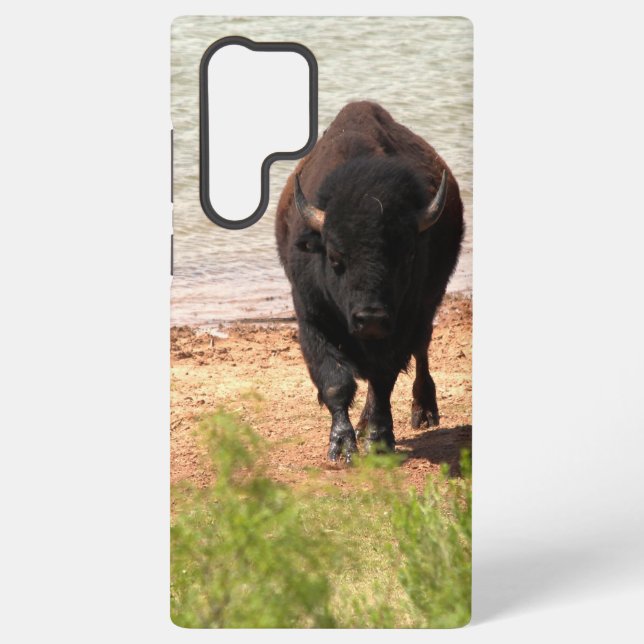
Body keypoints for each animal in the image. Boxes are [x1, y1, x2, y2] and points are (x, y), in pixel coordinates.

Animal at [275, 101, 464, 462]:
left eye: (407, 255)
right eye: (336, 258)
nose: (371, 319)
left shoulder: (402, 325)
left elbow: (382, 379)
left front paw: (377, 440)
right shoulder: (312, 320)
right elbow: (336, 382)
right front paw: (341, 446)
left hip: (427, 308)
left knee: (421, 350)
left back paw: (423, 412)